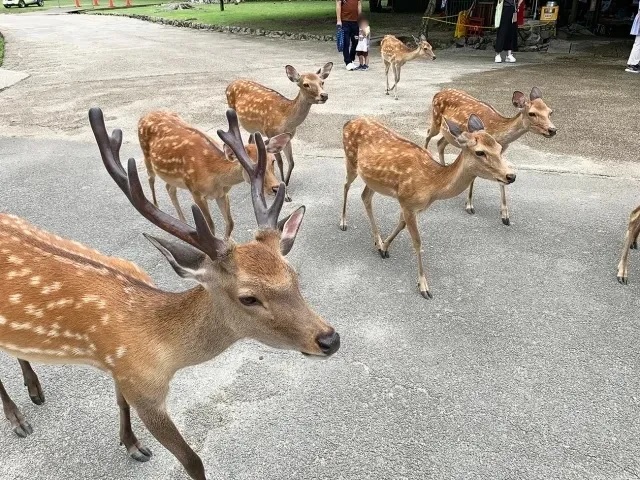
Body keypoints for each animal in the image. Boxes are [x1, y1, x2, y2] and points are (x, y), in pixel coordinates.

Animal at [140, 111, 292, 240]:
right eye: (248, 166)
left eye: (272, 161)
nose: (276, 188)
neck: (214, 177)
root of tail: (147, 114)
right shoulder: (195, 192)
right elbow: (210, 226)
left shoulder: (222, 193)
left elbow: (230, 223)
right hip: (147, 157)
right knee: (150, 179)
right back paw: (156, 207)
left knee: (169, 188)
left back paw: (183, 222)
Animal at [340, 114, 516, 298]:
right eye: (480, 152)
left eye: (498, 147)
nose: (511, 176)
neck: (432, 185)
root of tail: (348, 122)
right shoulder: (407, 202)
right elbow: (417, 242)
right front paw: (424, 286)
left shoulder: (411, 205)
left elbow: (401, 225)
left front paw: (384, 247)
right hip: (350, 160)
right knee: (346, 185)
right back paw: (343, 222)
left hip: (372, 180)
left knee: (365, 197)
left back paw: (377, 239)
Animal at [424, 86, 556, 225]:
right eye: (532, 113)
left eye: (550, 112)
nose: (553, 130)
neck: (498, 134)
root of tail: (438, 93)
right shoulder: (472, 148)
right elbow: (473, 177)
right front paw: (469, 206)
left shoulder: (500, 153)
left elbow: (501, 179)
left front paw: (505, 216)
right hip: (436, 120)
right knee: (428, 134)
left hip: (449, 135)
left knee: (440, 143)